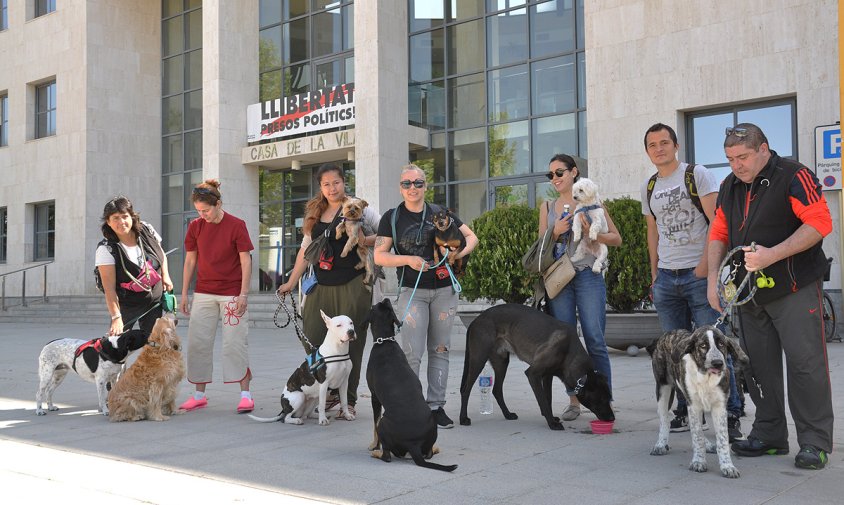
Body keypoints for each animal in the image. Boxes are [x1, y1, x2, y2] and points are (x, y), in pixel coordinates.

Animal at [366, 298, 458, 470]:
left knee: (387, 456)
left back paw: (377, 453)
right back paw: (434, 448)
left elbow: (374, 424)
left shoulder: (374, 396)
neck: (385, 341)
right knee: (428, 453)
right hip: (432, 427)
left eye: (374, 306)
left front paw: (374, 445)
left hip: (384, 424)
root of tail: (414, 444)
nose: (386, 299)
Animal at [648, 326, 748, 476]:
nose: (718, 363)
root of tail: (669, 333)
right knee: (664, 419)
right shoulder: (693, 406)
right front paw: (698, 462)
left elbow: (722, 439)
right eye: (703, 346)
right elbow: (697, 436)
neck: (706, 377)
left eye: (721, 344)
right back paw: (661, 444)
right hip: (662, 389)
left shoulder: (719, 407)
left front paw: (727, 466)